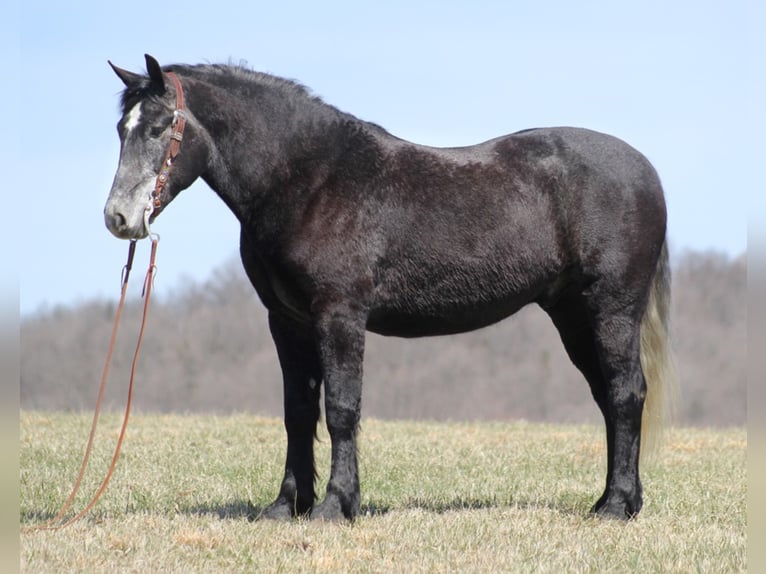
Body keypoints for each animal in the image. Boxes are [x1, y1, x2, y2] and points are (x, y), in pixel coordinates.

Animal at [103, 54, 680, 520]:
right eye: (120, 129)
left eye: (159, 128)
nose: (118, 217)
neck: (307, 180)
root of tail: (646, 171)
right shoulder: (287, 321)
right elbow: (298, 412)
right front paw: (287, 506)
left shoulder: (339, 314)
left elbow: (341, 409)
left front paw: (336, 506)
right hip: (572, 315)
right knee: (610, 399)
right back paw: (612, 502)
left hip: (611, 309)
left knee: (627, 394)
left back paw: (617, 507)